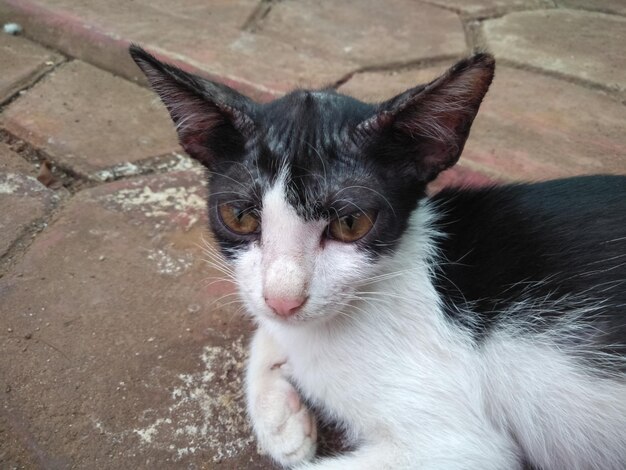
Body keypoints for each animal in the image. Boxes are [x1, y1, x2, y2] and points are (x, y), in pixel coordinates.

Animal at [129, 45, 624, 470]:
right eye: (240, 216)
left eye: (351, 223)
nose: (284, 300)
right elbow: (265, 329)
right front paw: (281, 421)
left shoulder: (457, 447)